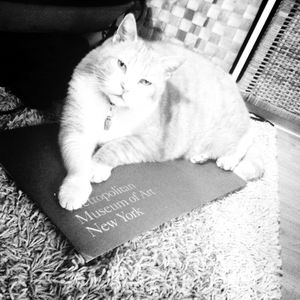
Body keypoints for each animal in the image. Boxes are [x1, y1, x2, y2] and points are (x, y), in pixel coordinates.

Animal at [57, 12, 264, 211]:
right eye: (121, 64)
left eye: (144, 82)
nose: (125, 88)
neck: (111, 109)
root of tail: (234, 85)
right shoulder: (74, 131)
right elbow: (77, 163)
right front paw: (74, 189)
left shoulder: (150, 142)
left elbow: (114, 147)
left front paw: (97, 166)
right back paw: (201, 156)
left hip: (225, 132)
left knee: (247, 138)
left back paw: (229, 159)